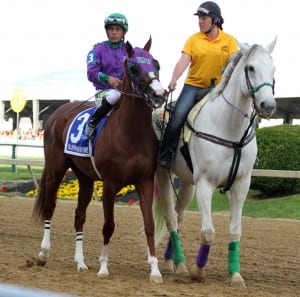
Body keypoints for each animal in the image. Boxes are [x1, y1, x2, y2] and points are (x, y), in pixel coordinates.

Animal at [33, 37, 169, 282]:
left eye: (156, 63)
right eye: (134, 67)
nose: (160, 94)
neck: (131, 133)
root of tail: (59, 112)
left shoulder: (144, 181)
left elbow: (149, 224)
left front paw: (154, 270)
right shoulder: (110, 184)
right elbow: (108, 225)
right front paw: (104, 267)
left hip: (84, 178)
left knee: (79, 216)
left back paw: (80, 262)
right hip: (56, 170)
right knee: (49, 207)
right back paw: (43, 253)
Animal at [152, 38, 276, 286]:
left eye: (273, 69)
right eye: (251, 68)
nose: (268, 106)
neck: (229, 129)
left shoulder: (241, 185)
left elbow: (235, 230)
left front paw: (235, 275)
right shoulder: (205, 185)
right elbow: (208, 232)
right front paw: (198, 271)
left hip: (187, 183)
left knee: (179, 216)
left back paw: (174, 262)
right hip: (163, 176)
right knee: (171, 219)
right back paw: (182, 267)